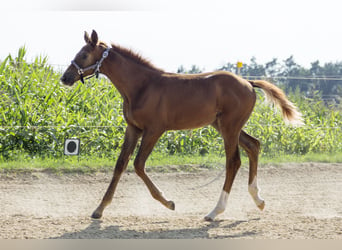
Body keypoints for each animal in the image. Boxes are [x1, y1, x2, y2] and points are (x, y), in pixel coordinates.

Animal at [60, 29, 302, 221]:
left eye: (83, 54)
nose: (65, 77)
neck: (142, 86)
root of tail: (248, 83)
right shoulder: (133, 129)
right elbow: (120, 164)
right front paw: (99, 209)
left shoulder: (154, 130)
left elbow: (138, 164)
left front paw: (168, 203)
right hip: (224, 125)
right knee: (253, 145)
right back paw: (258, 200)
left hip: (229, 127)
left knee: (233, 162)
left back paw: (215, 212)